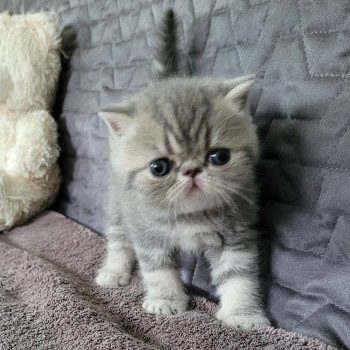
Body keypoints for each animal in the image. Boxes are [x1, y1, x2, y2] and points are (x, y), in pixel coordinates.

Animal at [95, 9, 270, 330]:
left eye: (219, 156)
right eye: (159, 167)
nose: (191, 170)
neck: (191, 215)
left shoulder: (237, 234)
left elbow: (239, 276)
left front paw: (243, 314)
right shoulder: (148, 231)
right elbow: (158, 270)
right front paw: (165, 300)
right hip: (119, 204)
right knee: (118, 237)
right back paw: (114, 271)